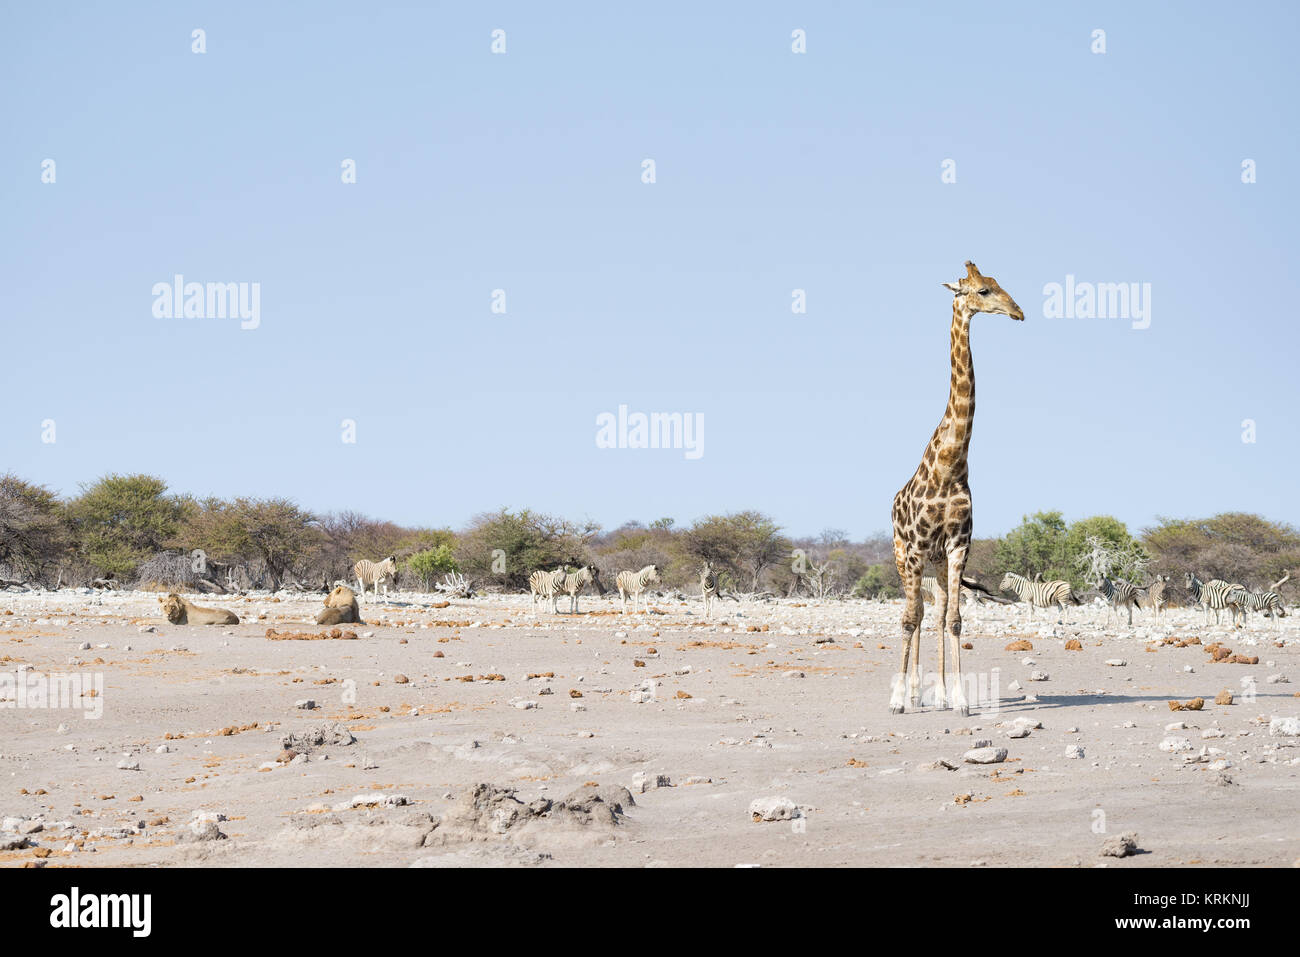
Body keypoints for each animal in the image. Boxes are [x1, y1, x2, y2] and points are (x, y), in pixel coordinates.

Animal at [889, 260, 1019, 712]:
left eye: (998, 285)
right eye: (982, 291)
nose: (1018, 312)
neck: (951, 464)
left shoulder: (958, 544)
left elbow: (955, 620)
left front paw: (960, 699)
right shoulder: (915, 548)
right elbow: (909, 618)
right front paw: (898, 698)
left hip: (937, 564)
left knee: (938, 608)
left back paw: (938, 694)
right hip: (903, 556)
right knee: (914, 613)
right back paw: (911, 692)